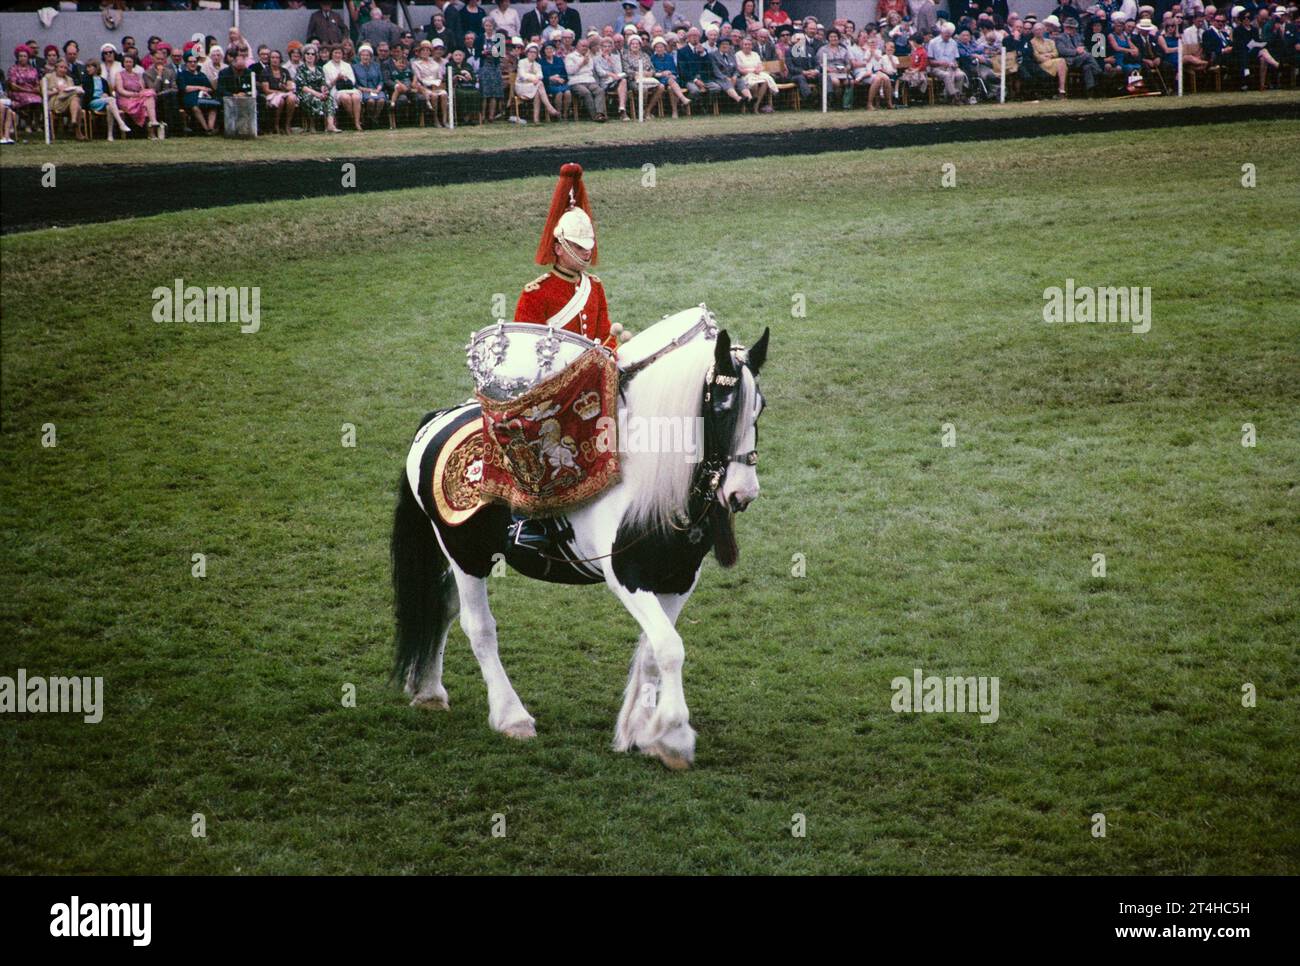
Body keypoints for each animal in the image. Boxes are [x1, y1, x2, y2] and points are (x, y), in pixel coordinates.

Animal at [390, 309, 764, 769]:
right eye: (721, 406)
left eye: (760, 408)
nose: (743, 493)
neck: (655, 485)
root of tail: (436, 419)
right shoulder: (627, 578)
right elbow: (669, 648)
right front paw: (673, 735)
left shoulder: (678, 580)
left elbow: (654, 650)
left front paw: (643, 731)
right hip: (463, 552)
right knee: (477, 626)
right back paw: (511, 716)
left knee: (440, 603)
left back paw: (428, 690)